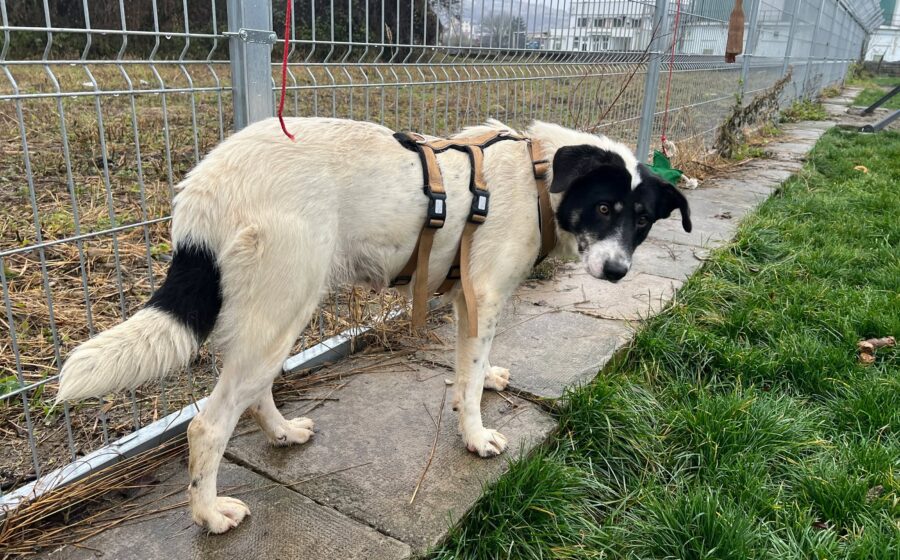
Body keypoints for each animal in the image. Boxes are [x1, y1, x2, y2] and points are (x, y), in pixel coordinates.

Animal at [56, 117, 691, 533]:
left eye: (641, 221)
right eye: (604, 209)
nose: (616, 272)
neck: (538, 175)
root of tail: (204, 187)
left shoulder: (467, 299)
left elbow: (472, 366)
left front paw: (483, 382)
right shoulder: (485, 295)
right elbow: (470, 381)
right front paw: (476, 436)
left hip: (279, 314)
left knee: (252, 392)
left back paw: (282, 434)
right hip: (284, 306)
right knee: (208, 427)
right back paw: (210, 514)